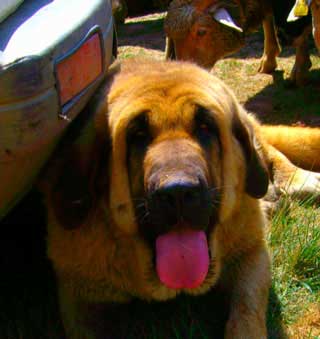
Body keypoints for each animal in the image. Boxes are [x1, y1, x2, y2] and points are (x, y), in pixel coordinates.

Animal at [39, 59, 320, 339]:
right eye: (137, 135)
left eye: (206, 127)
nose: (178, 191)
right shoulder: (79, 293)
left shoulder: (251, 254)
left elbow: (246, 312)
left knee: (268, 151)